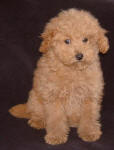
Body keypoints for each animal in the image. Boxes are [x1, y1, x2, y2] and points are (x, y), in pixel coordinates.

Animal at [8, 8, 108, 145]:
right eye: (67, 41)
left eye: (85, 39)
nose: (79, 55)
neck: (73, 69)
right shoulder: (53, 96)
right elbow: (56, 118)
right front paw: (56, 136)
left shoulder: (90, 96)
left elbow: (89, 117)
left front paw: (89, 133)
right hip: (35, 97)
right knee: (36, 112)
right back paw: (38, 121)